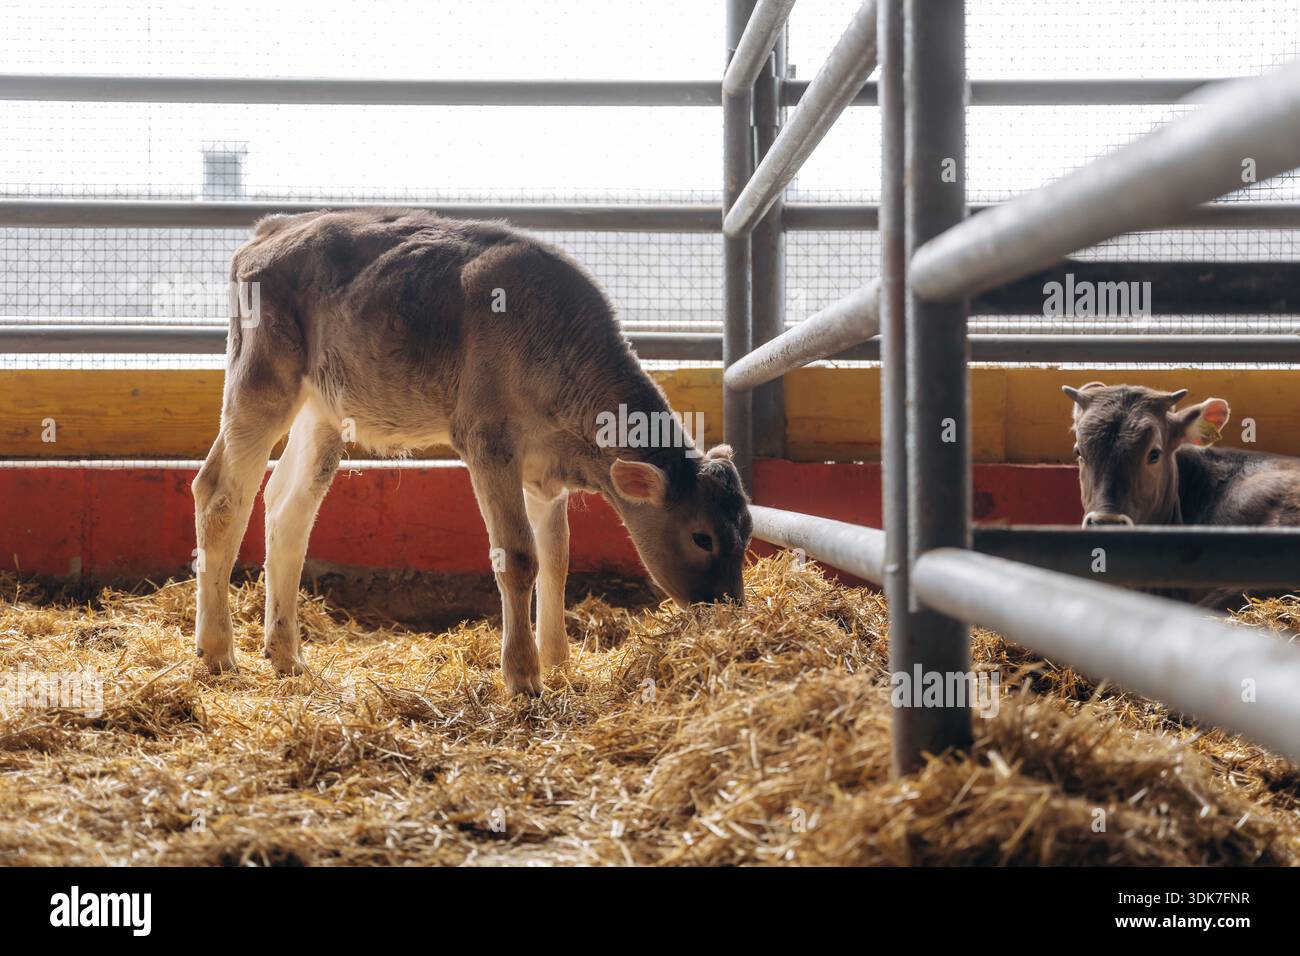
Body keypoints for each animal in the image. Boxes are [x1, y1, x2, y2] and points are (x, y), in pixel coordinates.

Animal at [192, 209, 751, 695]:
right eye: (702, 538)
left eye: (746, 531)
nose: (730, 612)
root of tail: (276, 225)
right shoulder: (488, 443)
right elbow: (519, 557)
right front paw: (524, 676)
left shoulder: (544, 471)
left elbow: (557, 557)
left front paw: (558, 661)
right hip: (261, 381)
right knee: (219, 496)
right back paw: (218, 651)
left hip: (322, 411)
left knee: (286, 509)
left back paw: (285, 653)